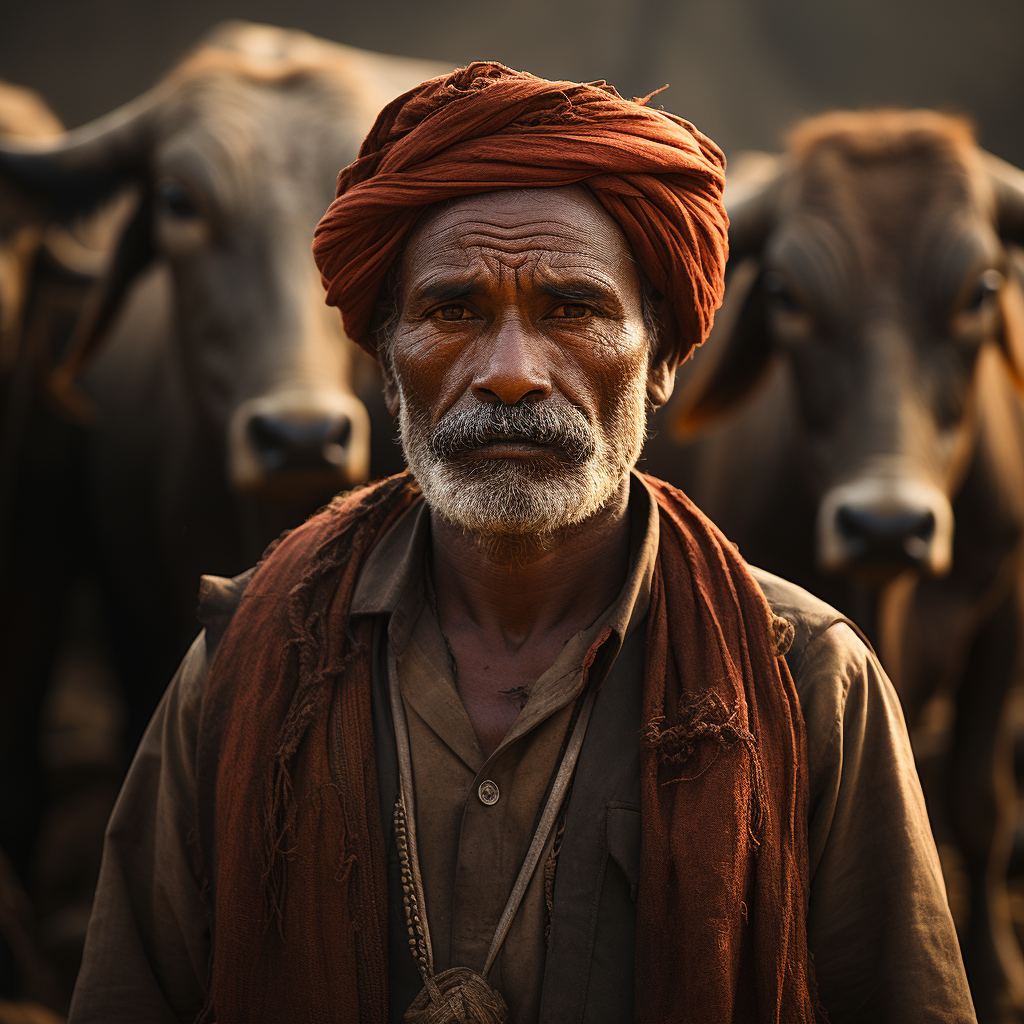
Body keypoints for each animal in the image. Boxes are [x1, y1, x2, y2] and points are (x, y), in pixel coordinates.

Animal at [638, 108, 1024, 1019]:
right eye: (785, 294)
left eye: (982, 290)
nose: (887, 525)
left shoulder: (1004, 606)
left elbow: (980, 800)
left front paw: (997, 973)